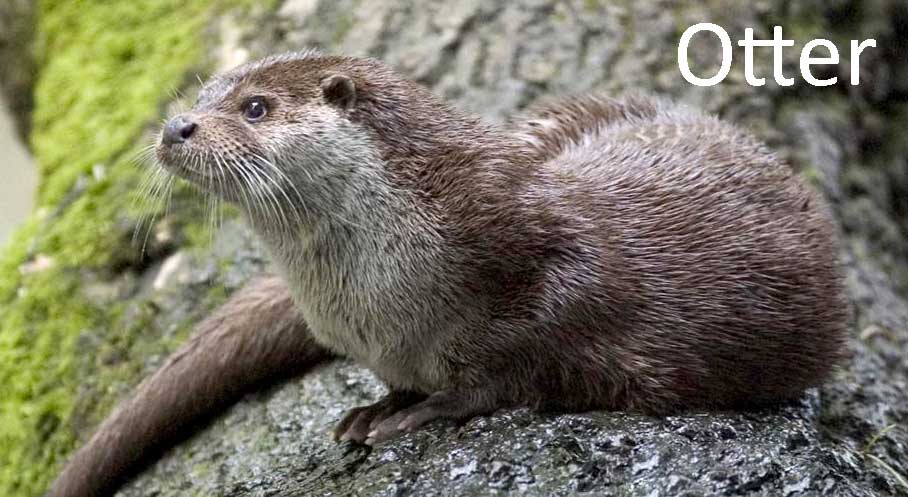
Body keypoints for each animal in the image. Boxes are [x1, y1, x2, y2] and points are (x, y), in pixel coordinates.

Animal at [45, 50, 848, 497]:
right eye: (204, 94)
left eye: (256, 107)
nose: (175, 127)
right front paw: (379, 404)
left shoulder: (545, 269)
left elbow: (516, 363)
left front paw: (422, 410)